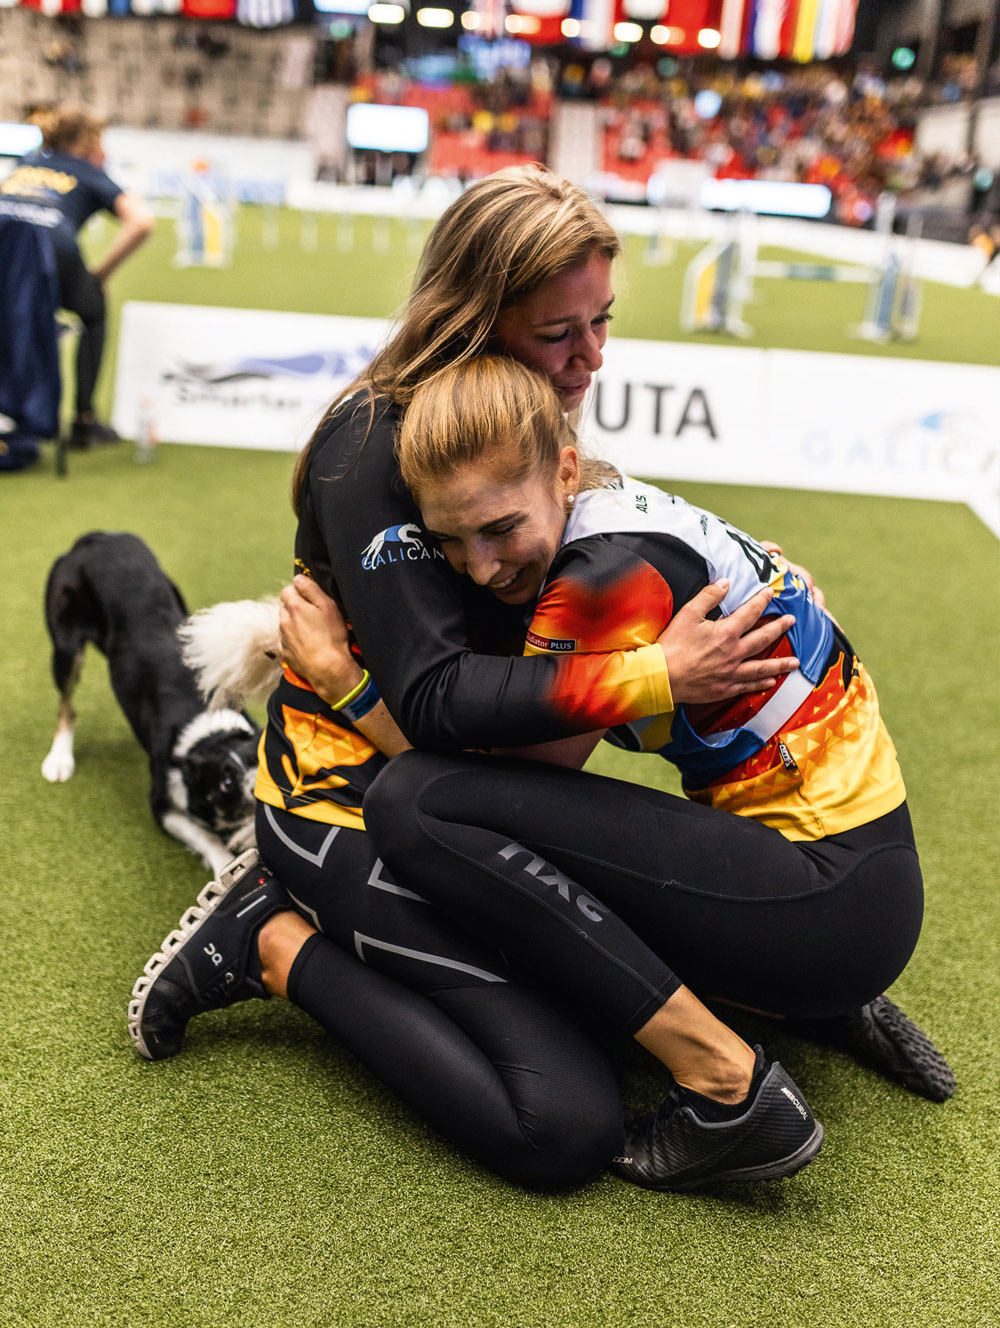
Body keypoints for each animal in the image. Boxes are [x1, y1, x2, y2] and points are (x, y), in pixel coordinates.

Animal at [41, 531, 261, 876]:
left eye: (258, 759)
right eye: (226, 782)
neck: (206, 734)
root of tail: (97, 538)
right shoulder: (161, 804)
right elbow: (208, 838)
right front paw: (227, 865)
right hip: (65, 645)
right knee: (67, 704)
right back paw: (59, 759)